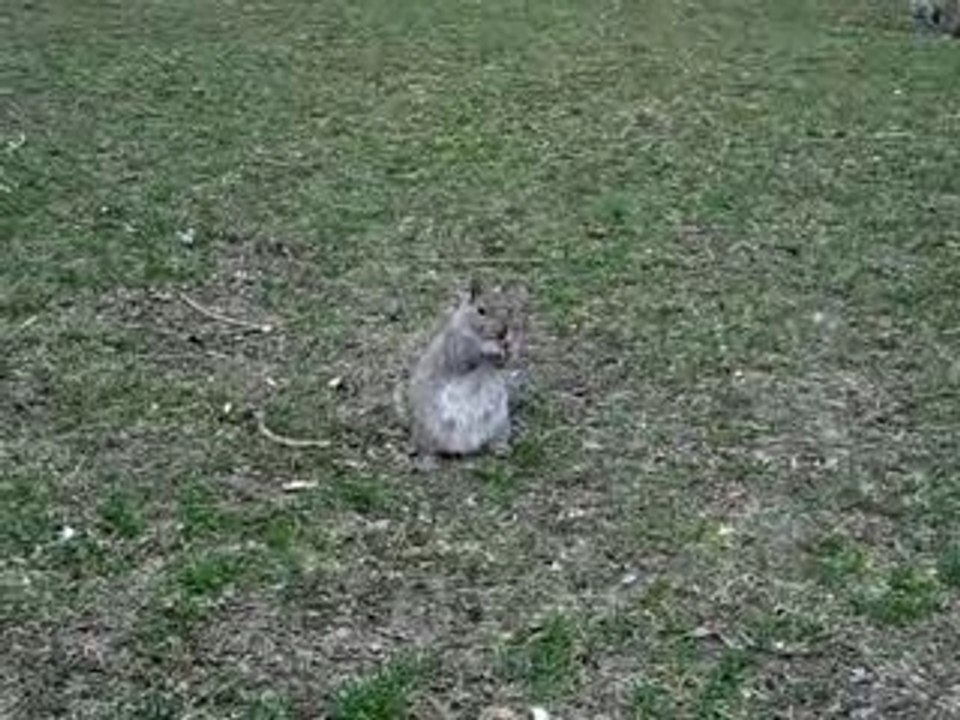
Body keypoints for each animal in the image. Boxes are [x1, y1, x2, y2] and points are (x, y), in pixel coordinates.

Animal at [408, 280, 526, 459]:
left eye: (509, 308)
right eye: (481, 310)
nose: (503, 331)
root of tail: (466, 447)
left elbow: (502, 364)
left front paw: (511, 347)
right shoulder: (455, 347)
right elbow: (464, 360)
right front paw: (489, 347)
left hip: (500, 424)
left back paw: (501, 449)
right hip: (429, 429)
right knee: (426, 446)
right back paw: (427, 459)